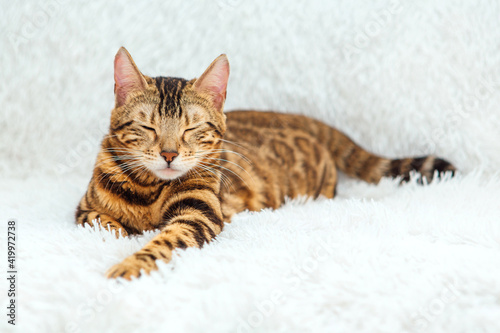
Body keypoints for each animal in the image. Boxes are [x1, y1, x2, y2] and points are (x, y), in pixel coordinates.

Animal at [75, 46, 458, 278]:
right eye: (147, 127)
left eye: (192, 128)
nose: (169, 154)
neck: (149, 190)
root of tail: (296, 118)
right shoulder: (84, 210)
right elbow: (105, 224)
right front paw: (124, 235)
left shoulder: (199, 215)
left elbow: (163, 242)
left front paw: (130, 264)